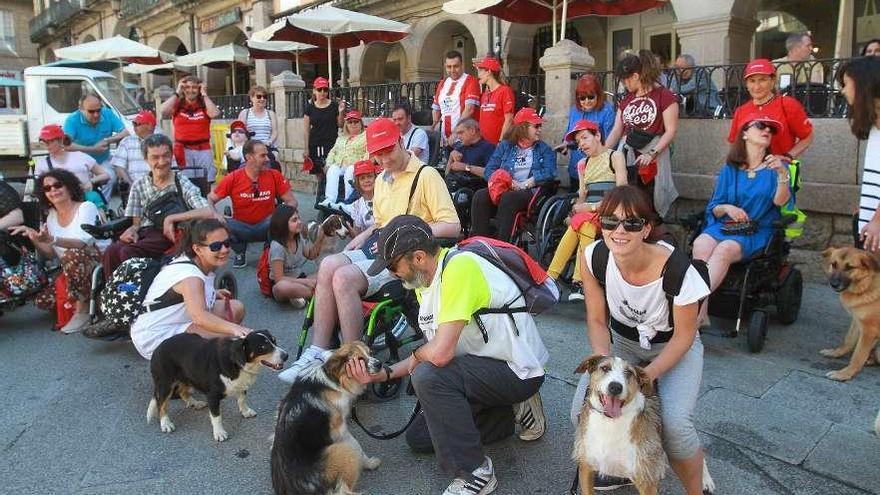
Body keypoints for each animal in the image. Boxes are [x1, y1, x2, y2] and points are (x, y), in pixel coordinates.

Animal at [146, 332, 288, 444]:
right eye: (262, 347)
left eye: (274, 341)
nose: (286, 356)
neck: (236, 362)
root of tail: (158, 347)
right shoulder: (212, 396)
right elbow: (216, 417)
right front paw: (219, 433)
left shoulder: (241, 386)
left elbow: (242, 400)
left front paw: (245, 411)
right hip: (165, 384)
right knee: (161, 403)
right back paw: (165, 423)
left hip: (187, 377)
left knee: (182, 392)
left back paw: (195, 403)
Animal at [272, 340, 382, 495]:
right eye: (360, 359)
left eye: (370, 353)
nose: (380, 364)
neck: (333, 378)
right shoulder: (340, 429)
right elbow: (358, 447)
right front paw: (369, 463)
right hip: (343, 450)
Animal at [576, 356, 664, 495]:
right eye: (605, 368)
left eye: (629, 372)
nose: (615, 387)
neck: (609, 423)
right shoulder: (586, 467)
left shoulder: (646, 481)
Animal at [820, 246, 880, 382]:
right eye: (834, 264)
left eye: (849, 267)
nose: (833, 284)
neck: (866, 285)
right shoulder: (857, 321)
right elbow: (848, 340)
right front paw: (836, 353)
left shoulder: (869, 331)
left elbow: (858, 356)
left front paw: (844, 374)